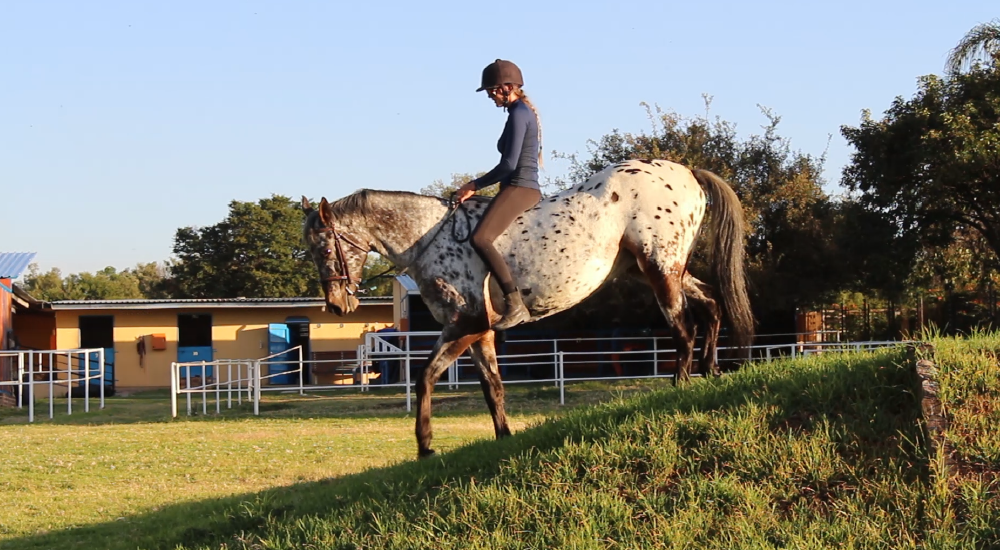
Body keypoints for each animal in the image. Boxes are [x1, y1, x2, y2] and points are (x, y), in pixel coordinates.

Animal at [301, 158, 754, 458]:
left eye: (324, 248)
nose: (337, 306)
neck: (428, 237)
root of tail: (685, 172)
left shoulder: (464, 322)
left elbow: (425, 375)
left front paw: (425, 445)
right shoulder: (478, 331)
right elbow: (492, 386)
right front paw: (503, 437)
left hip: (660, 266)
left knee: (683, 328)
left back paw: (681, 385)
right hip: (658, 269)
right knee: (712, 305)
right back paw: (712, 370)